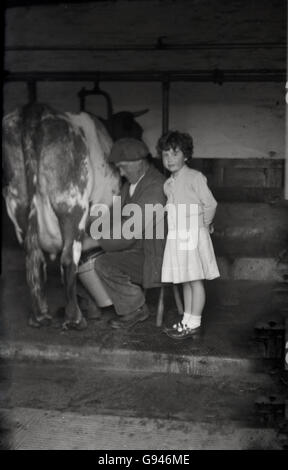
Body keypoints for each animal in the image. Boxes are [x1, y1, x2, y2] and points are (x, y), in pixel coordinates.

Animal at [1, 103, 134, 330]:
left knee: (34, 259)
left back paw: (40, 315)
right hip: (72, 203)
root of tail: (35, 109)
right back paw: (75, 319)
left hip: (17, 204)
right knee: (68, 259)